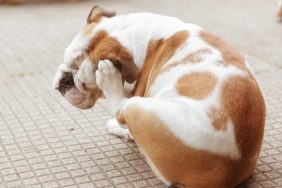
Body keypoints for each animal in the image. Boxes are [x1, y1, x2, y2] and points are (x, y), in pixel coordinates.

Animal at [53, 5, 266, 188]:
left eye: (85, 83)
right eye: (65, 61)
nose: (65, 81)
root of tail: (231, 166)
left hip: (139, 107)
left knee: (122, 109)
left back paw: (110, 82)